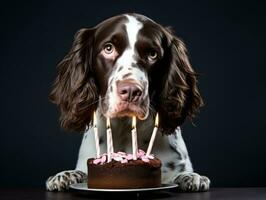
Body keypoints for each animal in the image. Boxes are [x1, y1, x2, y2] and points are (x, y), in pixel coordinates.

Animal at [46, 12, 211, 192]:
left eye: (152, 54)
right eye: (108, 48)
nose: (131, 91)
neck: (124, 127)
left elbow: (181, 174)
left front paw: (190, 177)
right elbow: (81, 172)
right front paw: (65, 176)